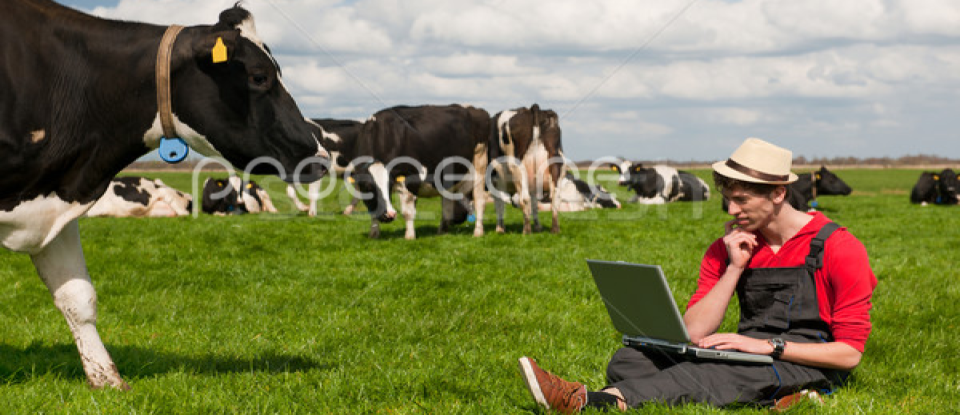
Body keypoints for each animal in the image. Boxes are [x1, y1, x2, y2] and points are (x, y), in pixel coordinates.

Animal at [350, 105, 488, 240]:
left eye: (389, 185)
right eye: (367, 186)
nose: (389, 214)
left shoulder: (409, 178)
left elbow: (407, 212)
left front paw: (409, 236)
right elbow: (372, 210)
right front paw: (373, 234)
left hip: (480, 164)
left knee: (479, 200)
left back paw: (478, 232)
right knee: (447, 203)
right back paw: (442, 231)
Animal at [492, 104, 568, 234]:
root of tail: (533, 109)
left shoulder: (495, 182)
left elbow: (499, 204)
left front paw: (500, 228)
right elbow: (534, 204)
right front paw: (538, 226)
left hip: (518, 169)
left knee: (524, 198)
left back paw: (526, 230)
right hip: (556, 164)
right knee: (555, 198)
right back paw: (555, 229)